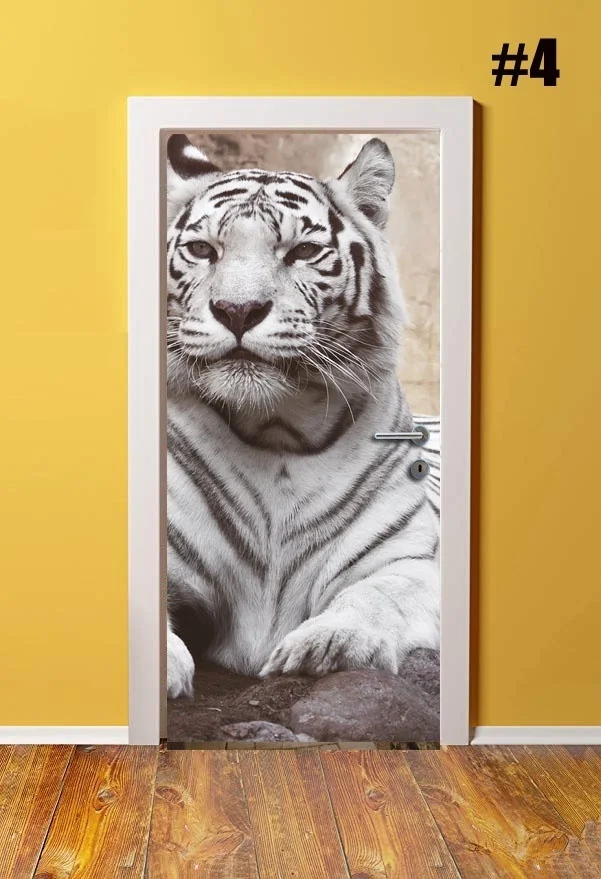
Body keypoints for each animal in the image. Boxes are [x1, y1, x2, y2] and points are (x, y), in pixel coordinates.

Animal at [166, 133, 440, 699]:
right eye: (203, 250)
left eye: (303, 252)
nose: (238, 310)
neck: (278, 434)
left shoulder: (408, 562)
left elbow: (376, 596)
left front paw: (327, 646)